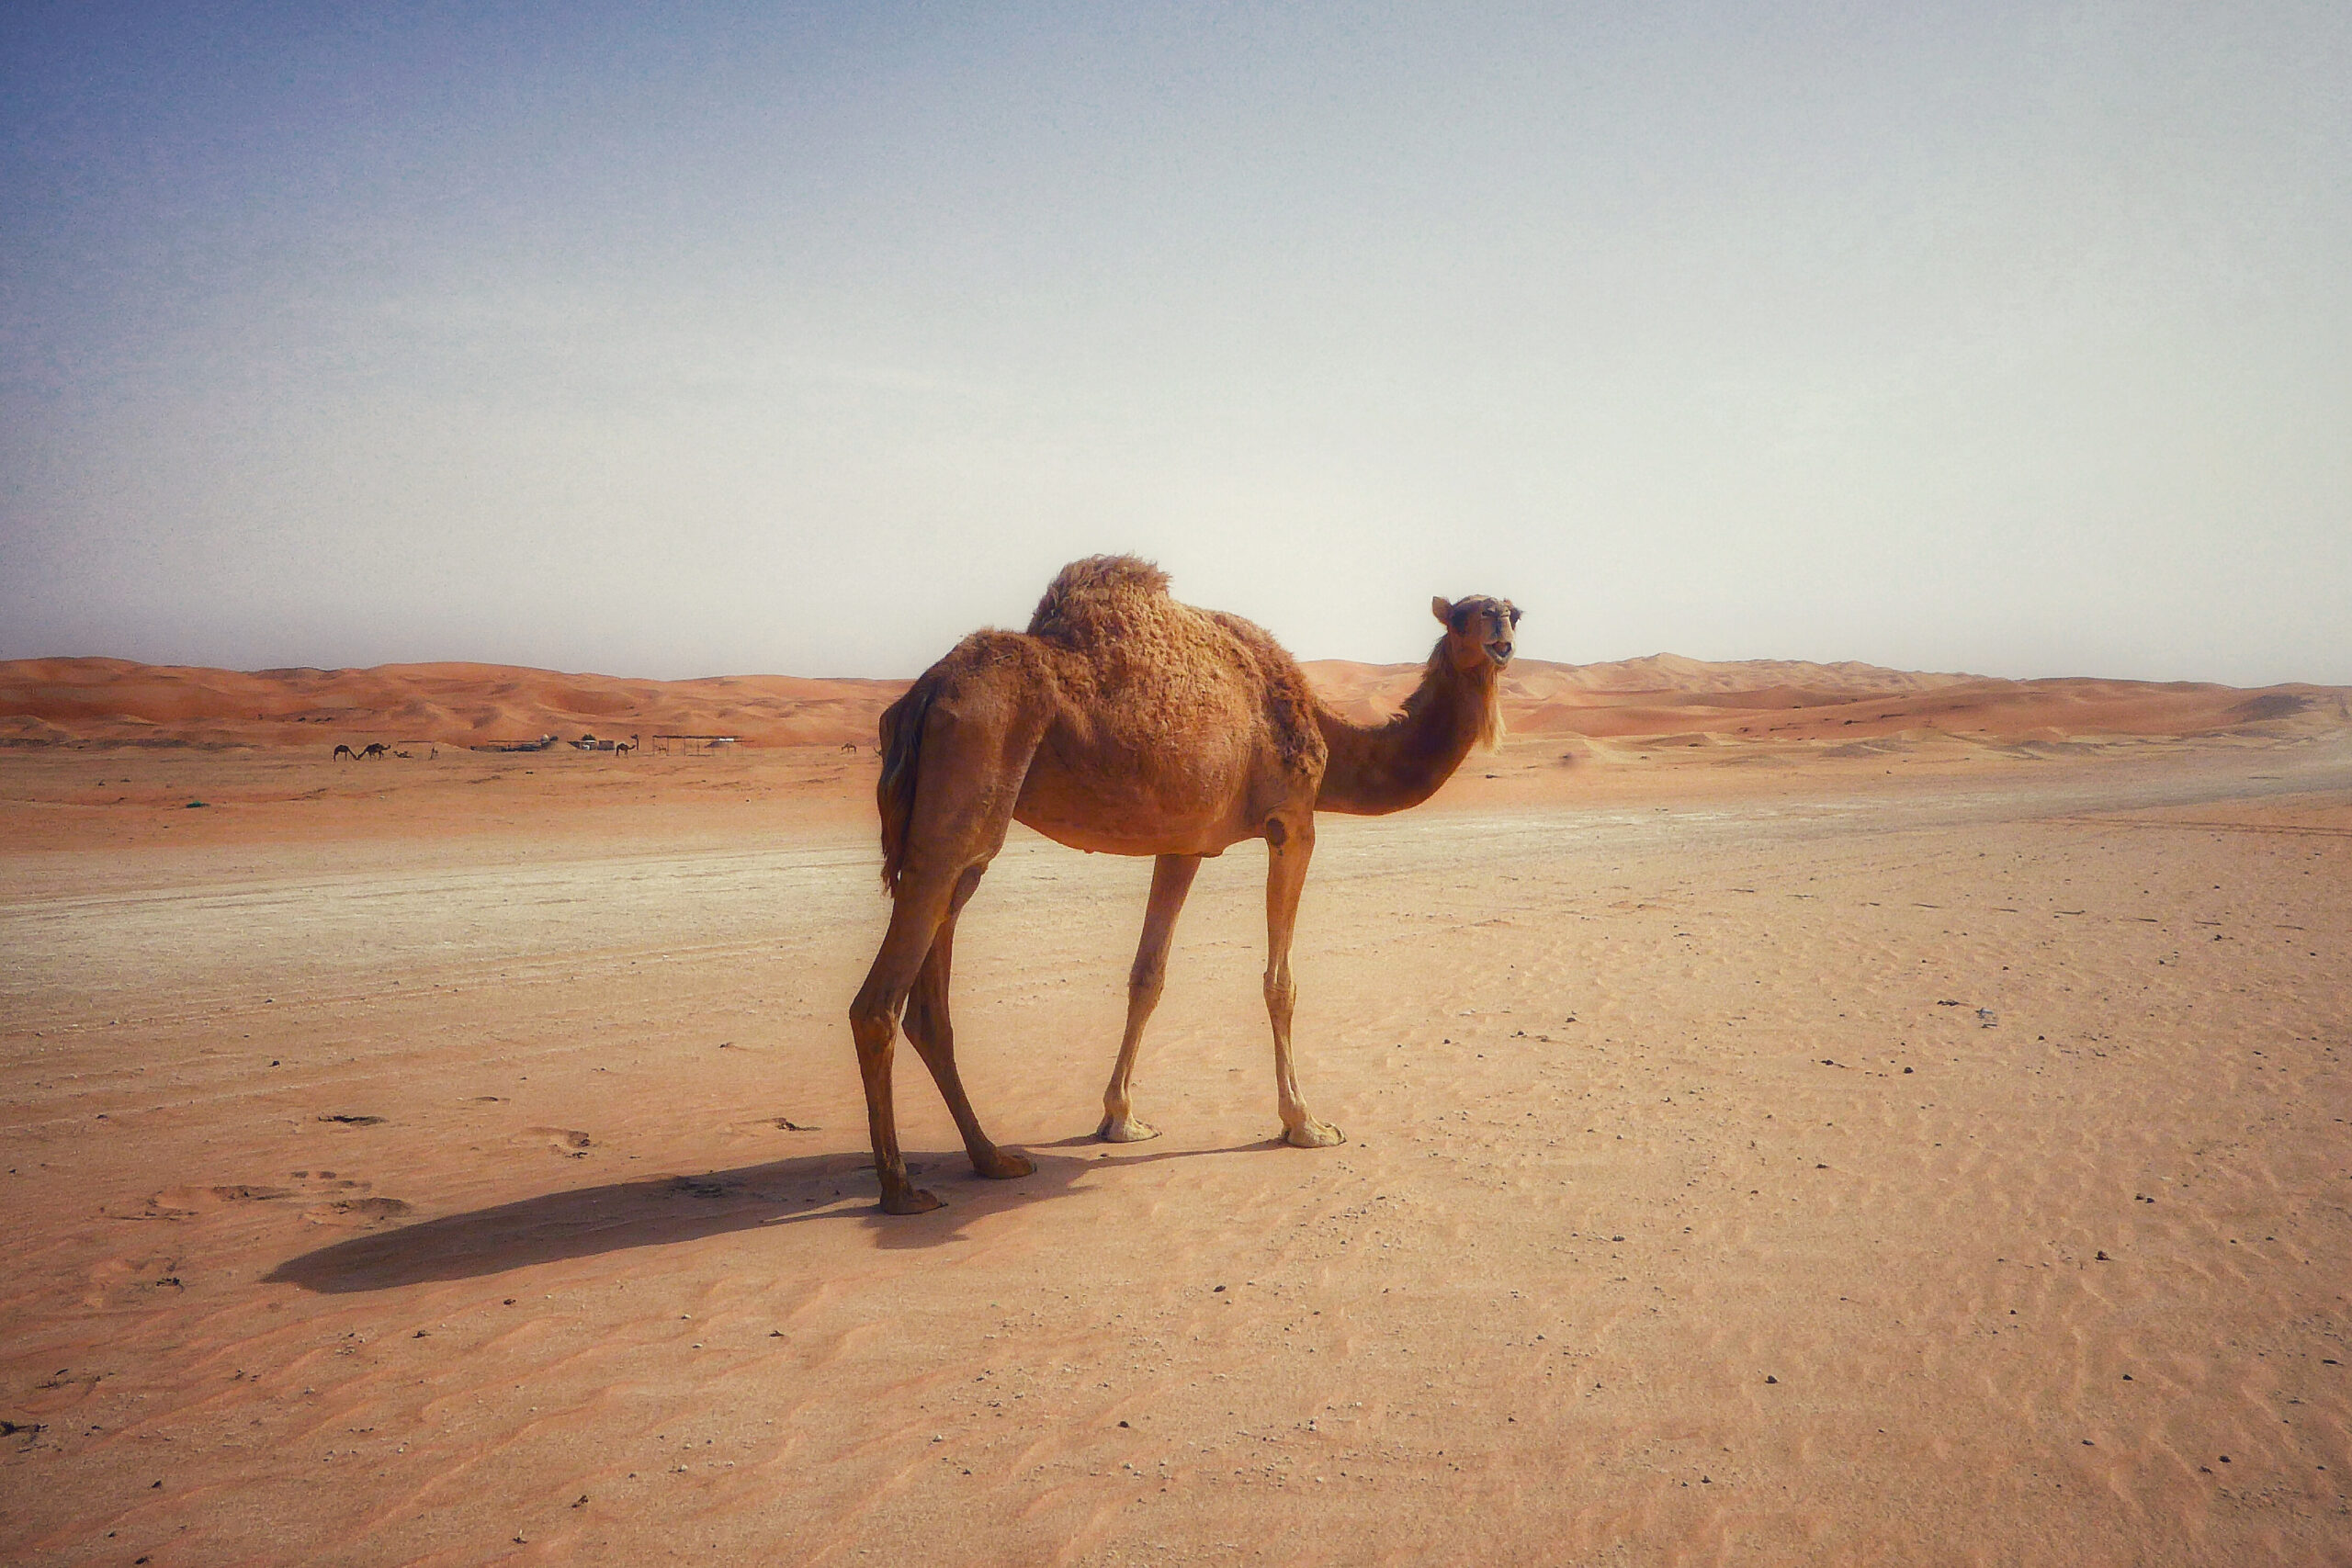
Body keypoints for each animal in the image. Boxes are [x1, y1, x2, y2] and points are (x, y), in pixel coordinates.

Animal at [851, 557, 1523, 1222]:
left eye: (1513, 611)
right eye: (1464, 616)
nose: (1501, 635)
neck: (1329, 736)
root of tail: (924, 692)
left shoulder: (1183, 844)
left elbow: (1147, 976)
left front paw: (1120, 1119)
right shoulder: (1293, 821)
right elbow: (1281, 984)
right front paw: (1305, 1123)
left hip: (960, 844)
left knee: (930, 1006)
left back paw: (992, 1158)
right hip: (966, 793)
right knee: (877, 1003)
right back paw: (901, 1188)